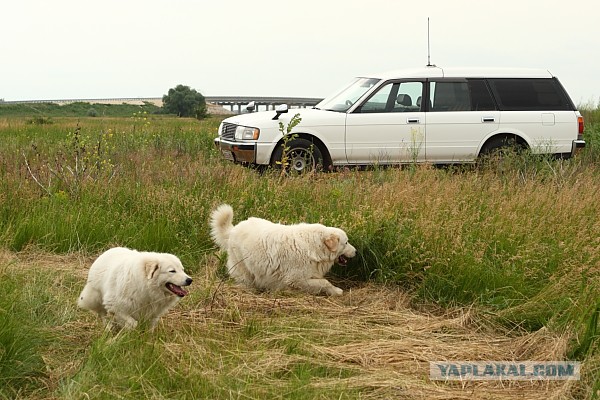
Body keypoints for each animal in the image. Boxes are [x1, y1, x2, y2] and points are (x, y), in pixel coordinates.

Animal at [210, 205, 356, 296]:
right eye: (346, 242)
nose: (356, 252)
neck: (314, 246)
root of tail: (233, 229)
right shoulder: (295, 279)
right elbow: (325, 282)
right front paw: (336, 291)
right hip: (244, 269)